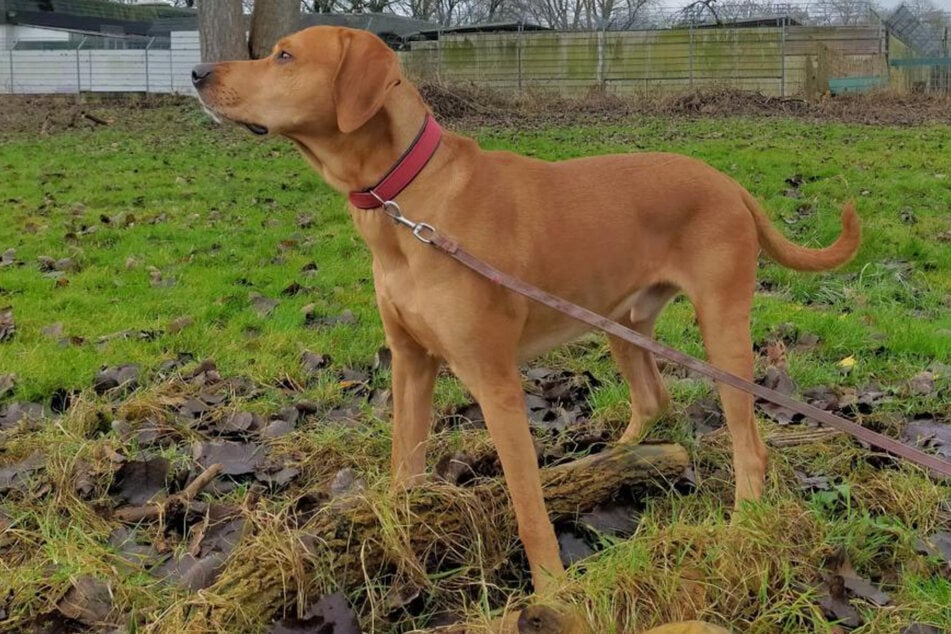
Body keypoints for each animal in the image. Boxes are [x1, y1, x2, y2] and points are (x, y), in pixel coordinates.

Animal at [192, 25, 856, 592]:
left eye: (284, 56)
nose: (197, 72)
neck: (409, 202)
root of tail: (731, 185)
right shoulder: (410, 364)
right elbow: (405, 462)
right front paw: (399, 533)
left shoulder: (496, 384)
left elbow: (528, 505)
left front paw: (552, 589)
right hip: (621, 322)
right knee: (654, 399)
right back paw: (616, 460)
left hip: (722, 332)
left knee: (749, 444)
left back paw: (740, 526)